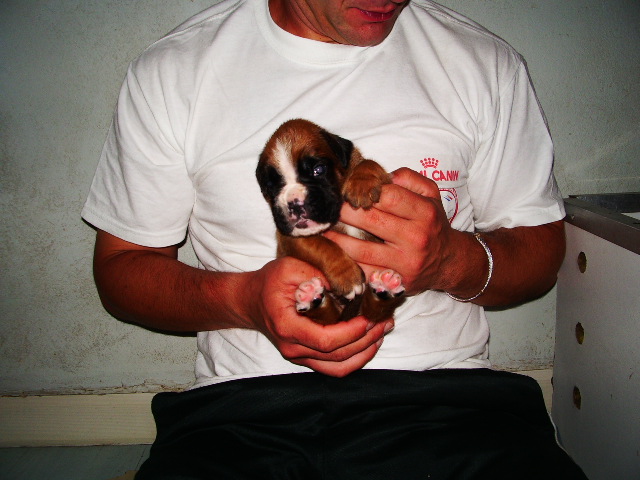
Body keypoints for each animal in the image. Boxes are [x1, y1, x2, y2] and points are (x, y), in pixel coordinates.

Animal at [256, 119, 405, 325]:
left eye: (318, 170)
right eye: (271, 186)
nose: (294, 202)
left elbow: (369, 163)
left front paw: (362, 184)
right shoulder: (289, 237)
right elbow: (322, 246)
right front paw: (347, 276)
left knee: (373, 313)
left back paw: (385, 290)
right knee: (330, 318)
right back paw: (312, 297)